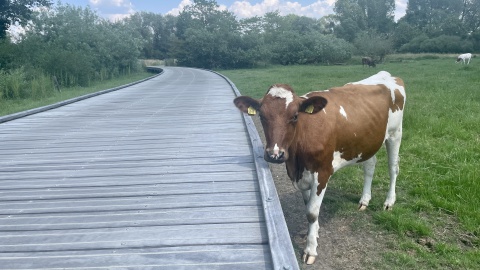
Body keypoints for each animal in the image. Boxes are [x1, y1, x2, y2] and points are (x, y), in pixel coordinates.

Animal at [234, 70, 406, 264]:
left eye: (295, 116)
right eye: (262, 116)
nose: (274, 154)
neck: (297, 161)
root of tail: (387, 74)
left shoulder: (322, 173)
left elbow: (312, 212)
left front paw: (310, 249)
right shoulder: (300, 175)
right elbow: (307, 205)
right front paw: (314, 232)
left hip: (395, 134)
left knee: (393, 168)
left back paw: (389, 202)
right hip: (368, 142)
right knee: (369, 166)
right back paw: (364, 200)